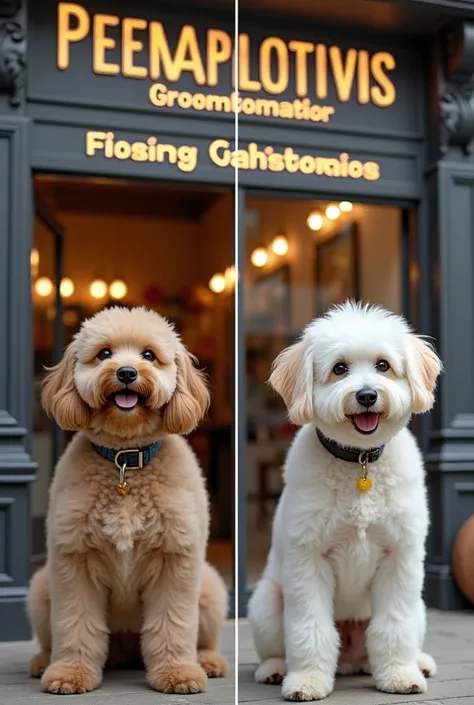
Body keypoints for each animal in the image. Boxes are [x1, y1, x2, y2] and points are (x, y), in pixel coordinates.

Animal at [25, 306, 230, 692]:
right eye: (104, 353)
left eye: (149, 355)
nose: (126, 372)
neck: (126, 460)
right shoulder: (73, 561)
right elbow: (75, 623)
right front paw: (70, 672)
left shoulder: (176, 560)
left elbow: (173, 623)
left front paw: (178, 672)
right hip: (40, 589)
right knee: (51, 638)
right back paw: (43, 661)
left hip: (210, 589)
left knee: (204, 637)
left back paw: (208, 661)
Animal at [246, 302, 442, 700]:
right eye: (339, 368)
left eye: (383, 365)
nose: (366, 395)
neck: (360, 461)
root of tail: (352, 661)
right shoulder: (308, 560)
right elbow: (310, 628)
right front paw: (306, 680)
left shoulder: (400, 559)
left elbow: (394, 625)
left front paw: (400, 674)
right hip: (265, 604)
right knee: (276, 647)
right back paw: (275, 669)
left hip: (420, 607)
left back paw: (420, 661)